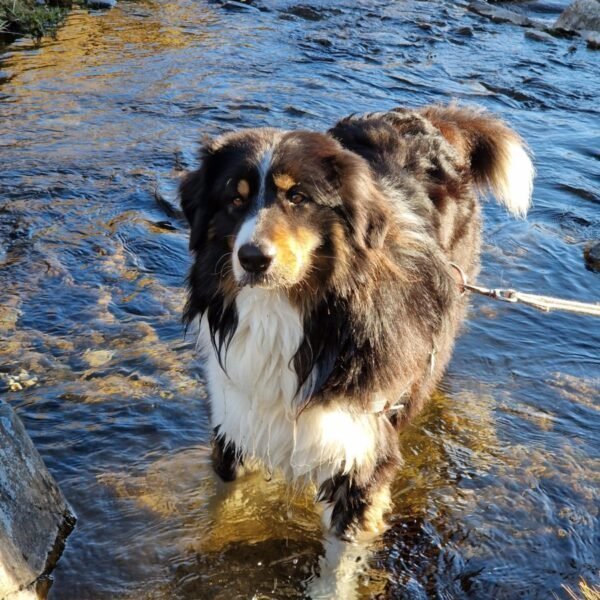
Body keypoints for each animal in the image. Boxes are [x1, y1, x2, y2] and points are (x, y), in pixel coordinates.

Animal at [179, 104, 536, 544]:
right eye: (235, 198)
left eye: (298, 197)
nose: (252, 258)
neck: (292, 315)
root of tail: (424, 117)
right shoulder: (236, 425)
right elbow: (223, 513)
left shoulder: (361, 457)